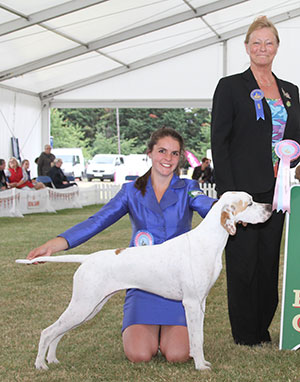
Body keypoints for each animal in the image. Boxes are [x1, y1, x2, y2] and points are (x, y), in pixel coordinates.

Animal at [16, 192, 272, 372]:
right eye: (250, 203)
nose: (270, 207)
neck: (209, 241)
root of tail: (88, 258)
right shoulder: (190, 303)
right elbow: (195, 339)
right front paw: (200, 366)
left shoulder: (200, 303)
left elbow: (197, 337)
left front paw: (201, 361)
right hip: (83, 305)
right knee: (48, 331)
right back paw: (41, 364)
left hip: (89, 308)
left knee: (58, 333)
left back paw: (52, 359)